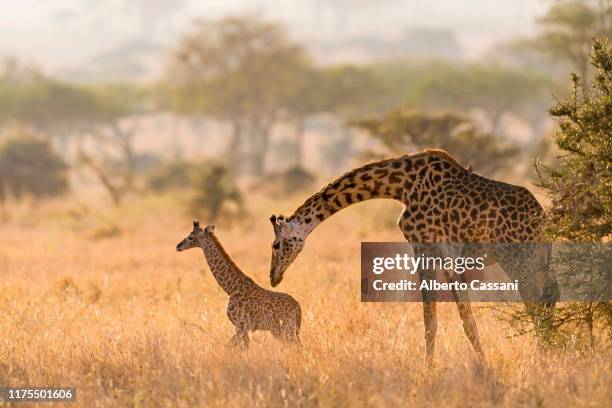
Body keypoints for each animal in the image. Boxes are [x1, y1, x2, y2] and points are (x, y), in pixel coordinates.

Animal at [176, 222, 302, 350]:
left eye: (191, 237)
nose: (178, 246)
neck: (230, 288)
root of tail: (297, 307)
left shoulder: (242, 325)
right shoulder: (242, 327)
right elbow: (228, 347)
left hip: (287, 328)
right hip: (282, 329)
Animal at [270, 149, 556, 360]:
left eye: (275, 245)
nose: (273, 277)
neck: (400, 186)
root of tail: (542, 220)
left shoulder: (430, 247)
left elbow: (447, 321)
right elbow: (442, 320)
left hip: (518, 260)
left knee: (537, 308)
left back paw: (543, 360)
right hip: (538, 262)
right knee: (547, 302)